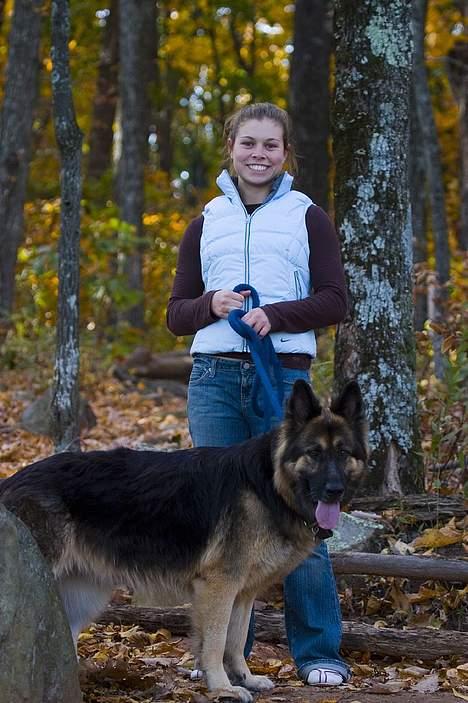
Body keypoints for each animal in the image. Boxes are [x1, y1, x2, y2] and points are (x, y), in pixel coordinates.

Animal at [0, 382, 366, 700]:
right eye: (314, 453)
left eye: (343, 453)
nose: (334, 491)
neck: (268, 484)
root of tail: (13, 479)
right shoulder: (218, 588)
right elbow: (216, 643)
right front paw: (223, 687)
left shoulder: (243, 593)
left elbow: (236, 640)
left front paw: (244, 678)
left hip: (79, 596)